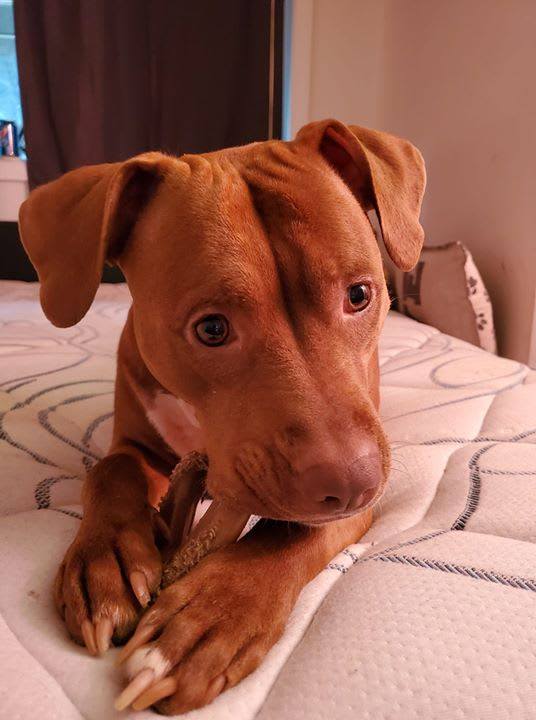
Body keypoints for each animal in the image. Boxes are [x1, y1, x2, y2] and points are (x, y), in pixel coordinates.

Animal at [19, 119, 425, 714]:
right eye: (211, 328)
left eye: (359, 295)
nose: (352, 482)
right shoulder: (135, 445)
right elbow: (110, 471)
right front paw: (106, 555)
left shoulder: (360, 490)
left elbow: (293, 533)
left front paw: (210, 616)